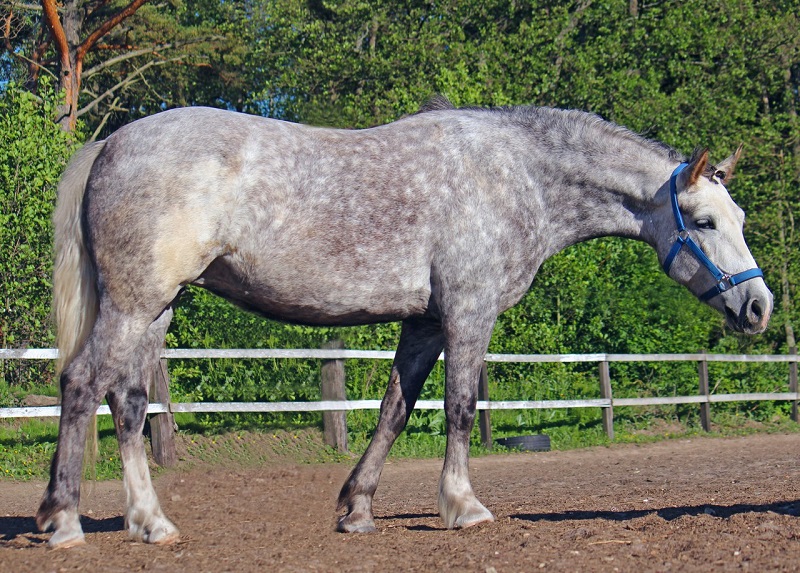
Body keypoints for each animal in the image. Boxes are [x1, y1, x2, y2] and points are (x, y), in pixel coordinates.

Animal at [37, 98, 772, 548]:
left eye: (737, 218)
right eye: (704, 221)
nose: (759, 307)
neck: (521, 176)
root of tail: (110, 142)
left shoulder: (424, 323)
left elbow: (395, 407)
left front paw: (357, 508)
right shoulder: (470, 311)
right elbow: (460, 406)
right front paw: (463, 506)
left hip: (154, 309)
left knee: (128, 402)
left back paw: (150, 521)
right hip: (135, 303)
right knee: (81, 384)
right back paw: (64, 518)